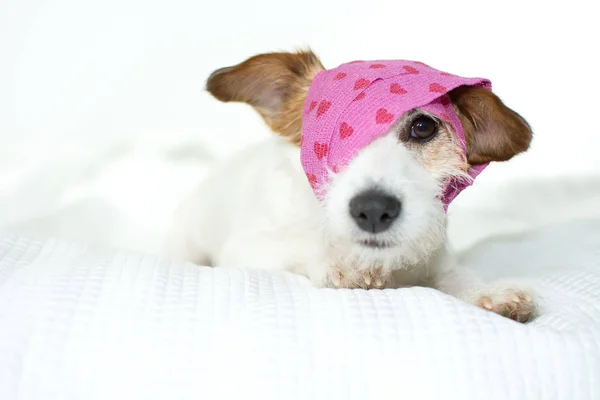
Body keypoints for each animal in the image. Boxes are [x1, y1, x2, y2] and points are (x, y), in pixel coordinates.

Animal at [166, 50, 536, 324]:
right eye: (323, 137)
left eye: (422, 127)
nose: (373, 209)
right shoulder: (248, 250)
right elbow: (302, 249)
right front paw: (341, 266)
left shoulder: (437, 260)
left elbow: (457, 276)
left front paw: (487, 292)